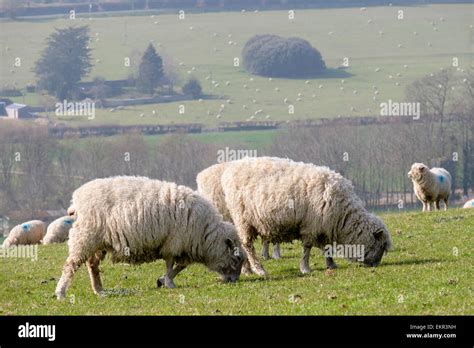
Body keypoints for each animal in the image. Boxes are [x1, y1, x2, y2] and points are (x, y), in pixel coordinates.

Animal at [56, 177, 244, 300]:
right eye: (237, 259)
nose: (235, 281)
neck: (205, 233)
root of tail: (76, 200)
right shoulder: (175, 242)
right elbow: (171, 264)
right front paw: (169, 282)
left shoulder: (184, 246)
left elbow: (181, 266)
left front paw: (163, 280)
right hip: (84, 237)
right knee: (70, 265)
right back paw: (61, 293)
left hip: (98, 243)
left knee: (92, 265)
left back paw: (99, 290)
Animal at [220, 156, 390, 276]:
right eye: (380, 246)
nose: (376, 265)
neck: (343, 217)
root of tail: (230, 170)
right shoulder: (311, 226)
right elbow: (307, 248)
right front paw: (305, 268)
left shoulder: (323, 227)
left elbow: (326, 248)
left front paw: (331, 264)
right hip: (243, 219)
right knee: (247, 245)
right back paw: (258, 269)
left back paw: (247, 270)